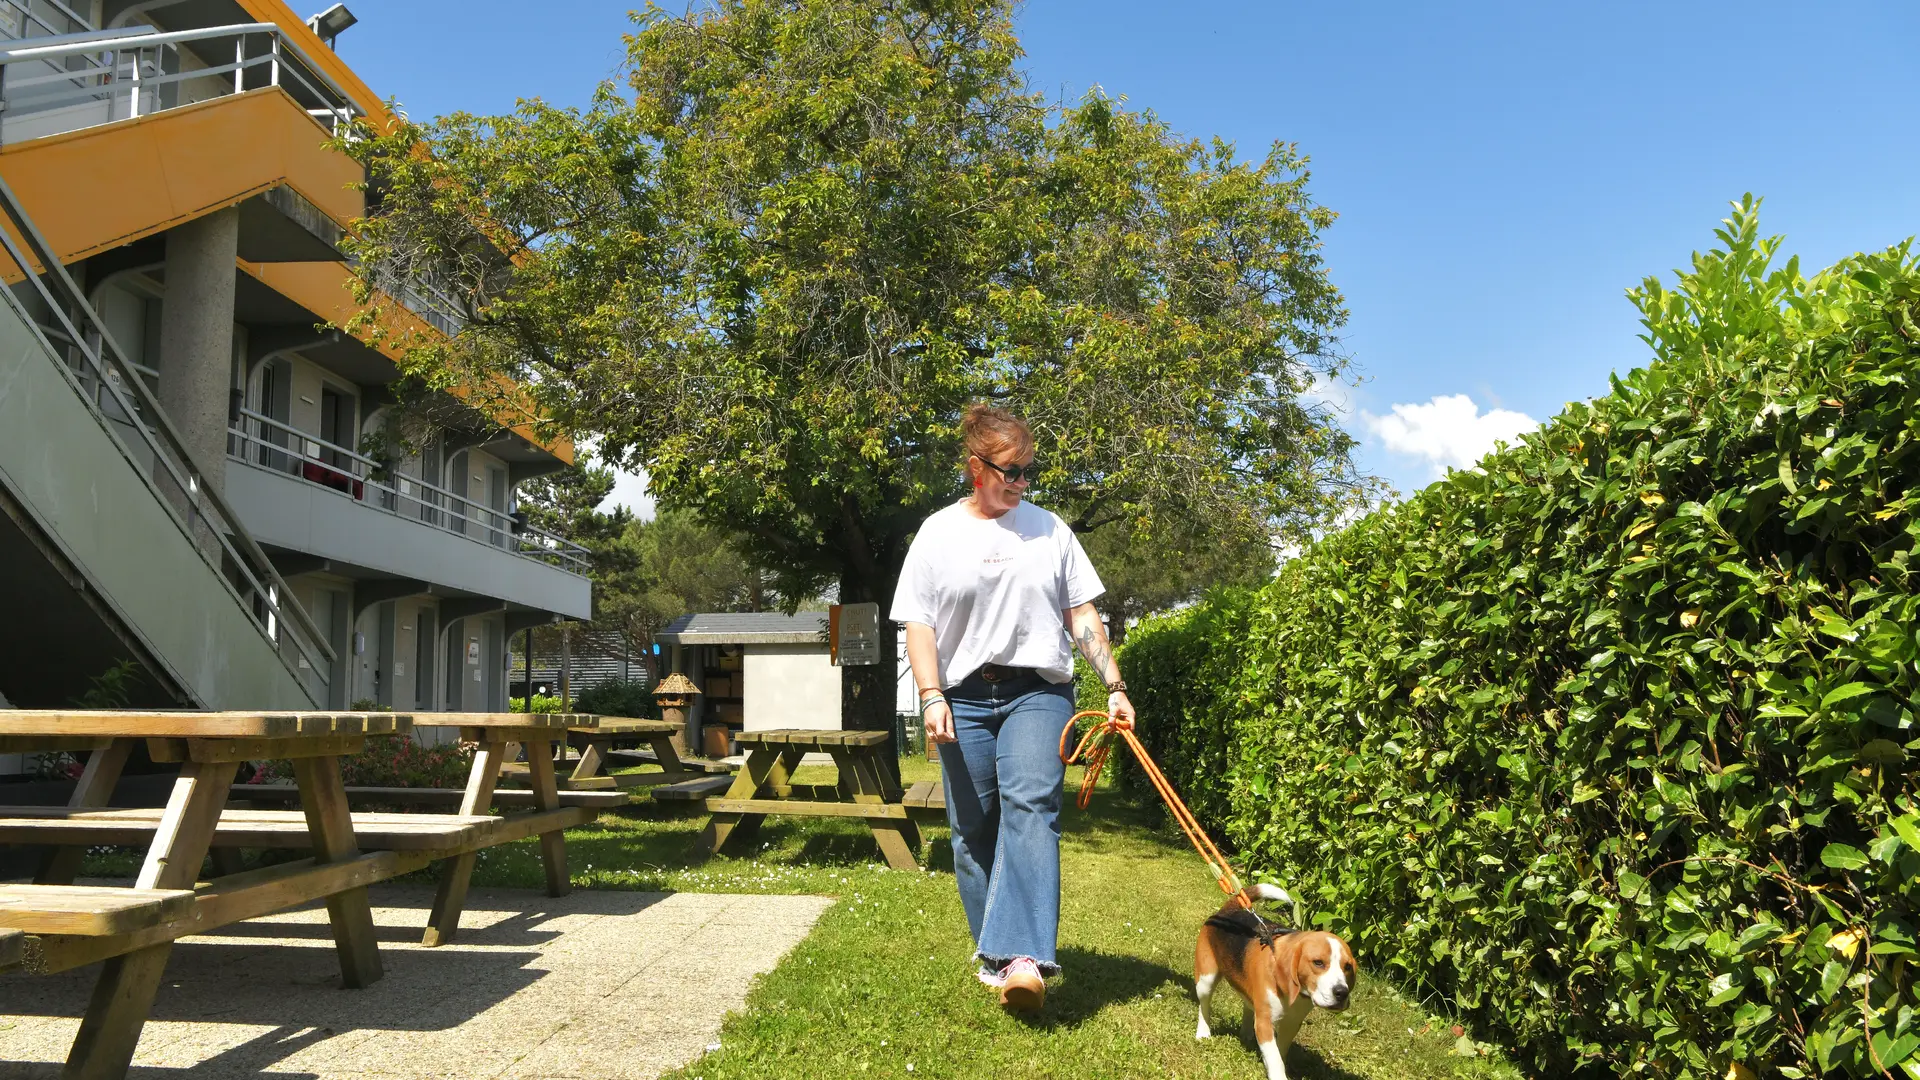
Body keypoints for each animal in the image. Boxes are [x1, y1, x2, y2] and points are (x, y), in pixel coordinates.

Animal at [1190, 883, 1359, 1076]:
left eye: (1347, 967)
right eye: (1318, 962)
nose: (1341, 993)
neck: (1295, 995)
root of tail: (1229, 909)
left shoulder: (1292, 1023)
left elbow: (1279, 1051)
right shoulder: (1265, 1023)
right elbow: (1274, 1057)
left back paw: (1246, 1035)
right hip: (1206, 980)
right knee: (1204, 1006)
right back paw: (1203, 1033)